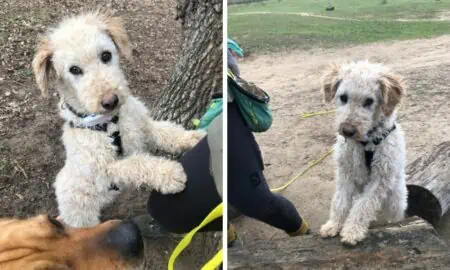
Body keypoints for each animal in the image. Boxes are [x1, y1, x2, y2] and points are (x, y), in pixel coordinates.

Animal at [32, 12, 205, 228]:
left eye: (106, 55)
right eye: (74, 69)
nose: (110, 101)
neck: (110, 122)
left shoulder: (144, 126)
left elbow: (167, 131)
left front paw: (193, 137)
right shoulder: (104, 170)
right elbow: (136, 164)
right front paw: (169, 174)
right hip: (82, 213)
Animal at [320, 60, 408, 245]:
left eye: (369, 101)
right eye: (343, 97)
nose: (347, 131)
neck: (366, 144)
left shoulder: (380, 179)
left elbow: (363, 206)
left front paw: (352, 231)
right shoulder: (345, 173)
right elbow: (340, 202)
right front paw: (333, 225)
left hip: (395, 203)